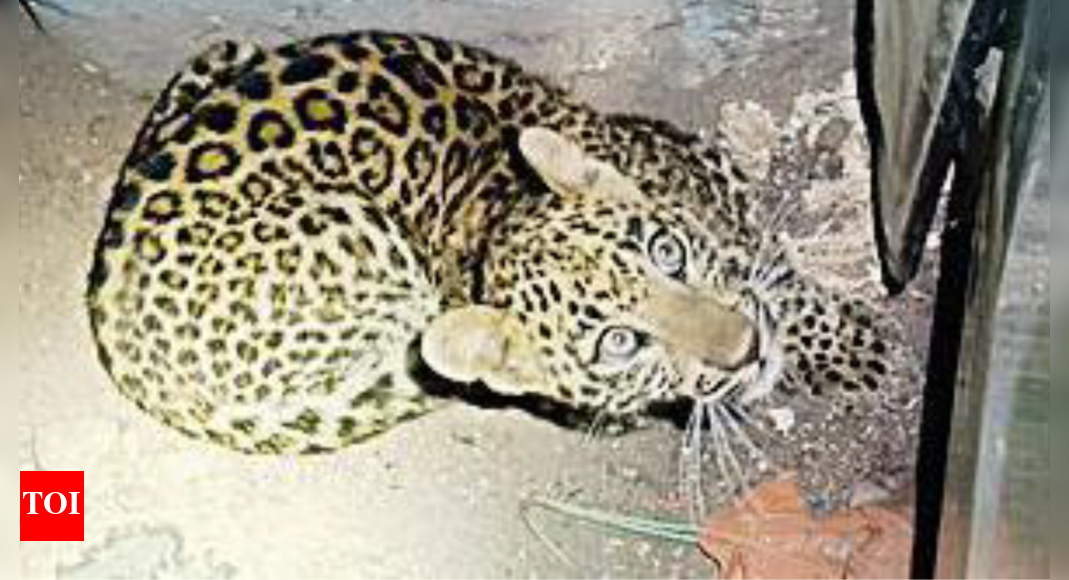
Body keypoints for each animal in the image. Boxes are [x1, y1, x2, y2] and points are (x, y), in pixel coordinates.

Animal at [86, 31, 918, 502]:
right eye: (619, 345)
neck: (499, 214)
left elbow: (766, 271)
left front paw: (851, 345)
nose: (744, 349)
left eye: (667, 252)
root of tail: (121, 340)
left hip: (220, 56)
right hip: (358, 227)